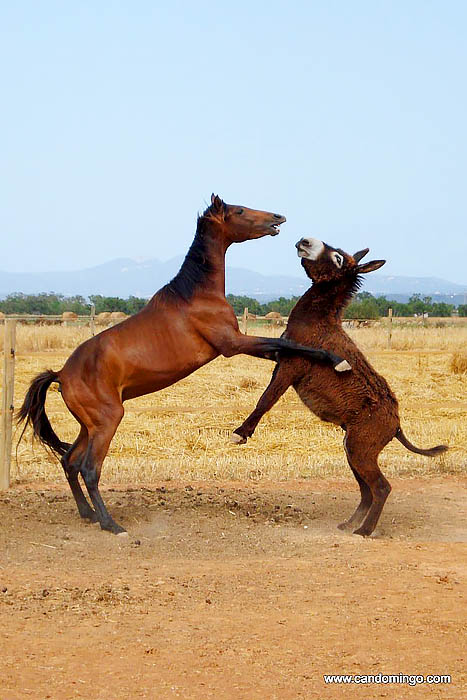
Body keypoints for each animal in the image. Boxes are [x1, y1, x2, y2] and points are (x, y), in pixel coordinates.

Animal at [18, 194, 352, 532]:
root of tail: (61, 374)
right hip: (106, 422)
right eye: (239, 210)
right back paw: (111, 524)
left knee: (69, 461)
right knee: (89, 469)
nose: (278, 218)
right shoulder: (233, 343)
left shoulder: (240, 344)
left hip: (88, 426)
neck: (196, 294)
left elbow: (287, 350)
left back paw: (87, 513)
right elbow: (289, 344)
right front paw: (340, 362)